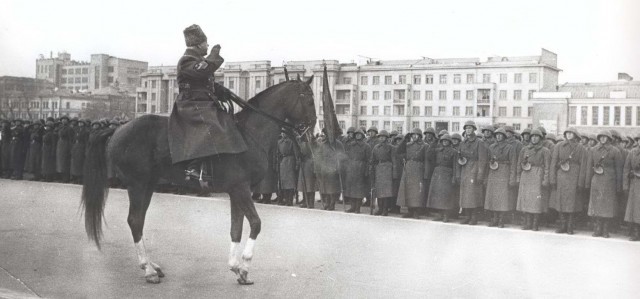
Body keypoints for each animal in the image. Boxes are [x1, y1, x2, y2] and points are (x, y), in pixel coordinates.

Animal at [81, 76, 316, 284]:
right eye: (308, 99)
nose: (311, 130)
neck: (249, 135)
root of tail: (118, 128)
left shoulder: (237, 191)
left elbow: (236, 228)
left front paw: (236, 267)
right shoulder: (241, 189)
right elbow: (256, 224)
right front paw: (245, 267)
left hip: (147, 186)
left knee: (138, 220)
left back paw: (153, 265)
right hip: (137, 185)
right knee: (135, 221)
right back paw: (148, 270)